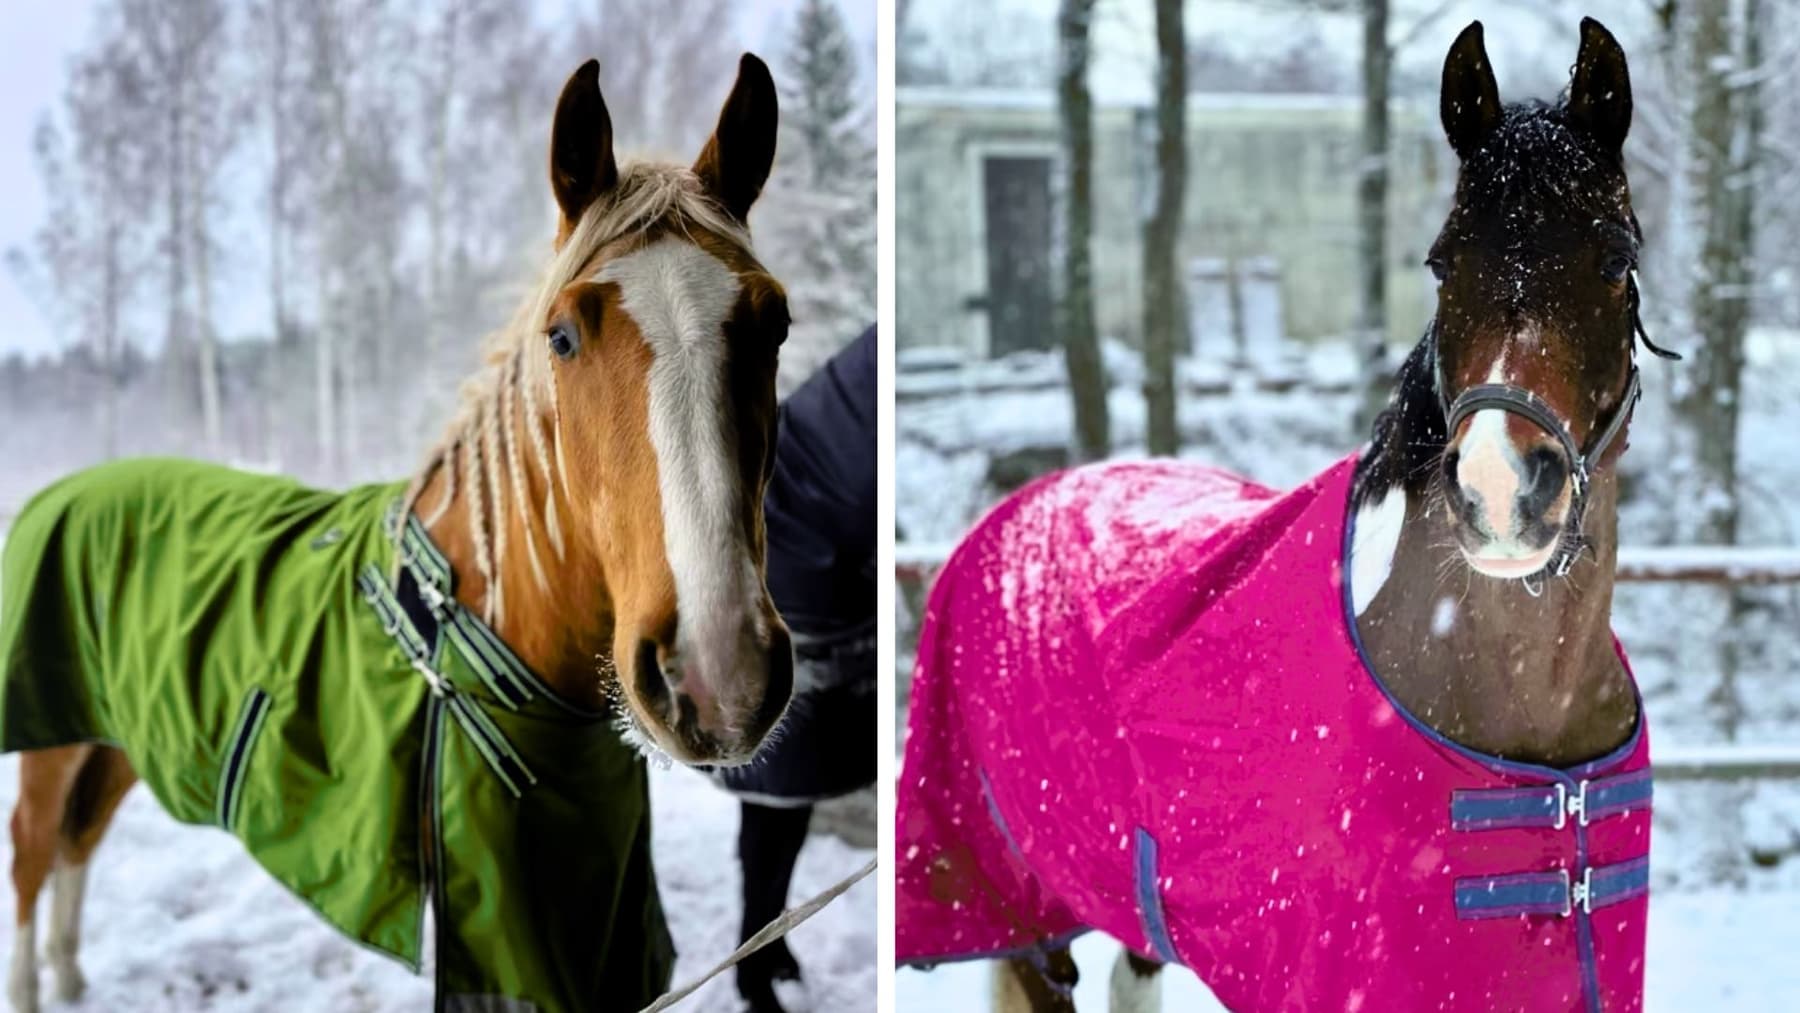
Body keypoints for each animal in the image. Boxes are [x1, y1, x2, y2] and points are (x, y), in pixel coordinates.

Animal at [0, 54, 793, 1012]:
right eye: (563, 335)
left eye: (776, 322)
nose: (720, 675)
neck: (479, 631)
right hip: (50, 741)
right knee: (32, 852)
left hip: (114, 739)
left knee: (75, 846)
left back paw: (71, 973)